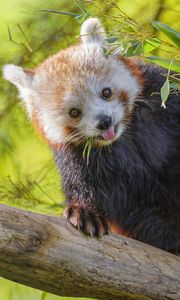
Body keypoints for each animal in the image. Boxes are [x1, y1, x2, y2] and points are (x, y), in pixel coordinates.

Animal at [2, 17, 180, 254]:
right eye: (74, 112)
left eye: (106, 92)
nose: (104, 121)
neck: (123, 137)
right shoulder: (79, 157)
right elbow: (88, 188)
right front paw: (85, 212)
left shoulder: (164, 98)